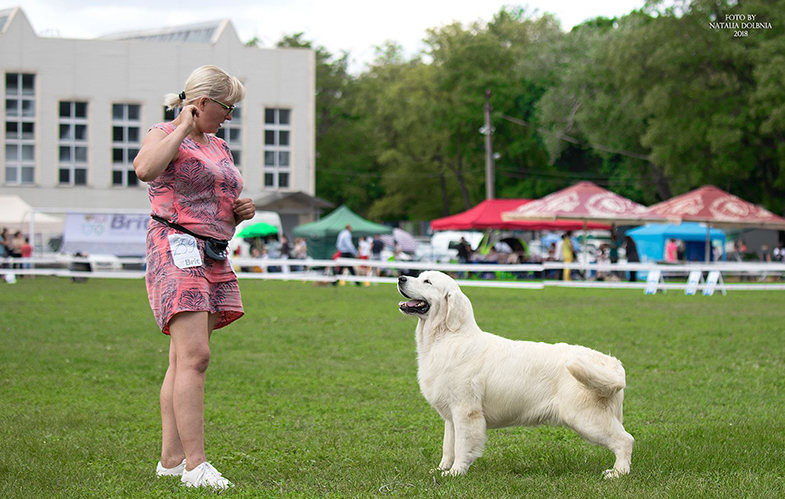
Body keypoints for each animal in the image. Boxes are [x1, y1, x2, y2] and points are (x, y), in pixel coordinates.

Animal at [398, 274, 632, 480]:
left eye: (427, 281)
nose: (401, 278)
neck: (447, 337)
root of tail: (612, 363)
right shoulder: (450, 416)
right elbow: (448, 446)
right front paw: (441, 469)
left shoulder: (466, 410)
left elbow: (463, 446)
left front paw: (456, 473)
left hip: (586, 418)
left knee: (625, 441)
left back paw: (617, 473)